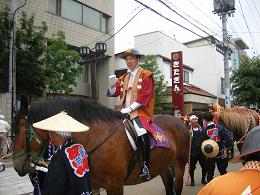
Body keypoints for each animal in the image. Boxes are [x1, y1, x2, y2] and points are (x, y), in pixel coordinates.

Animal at [12, 98, 189, 194]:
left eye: (22, 132)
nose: (16, 166)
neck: (94, 137)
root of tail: (179, 121)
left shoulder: (114, 186)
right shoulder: (94, 184)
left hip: (179, 163)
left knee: (178, 185)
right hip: (162, 165)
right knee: (168, 184)